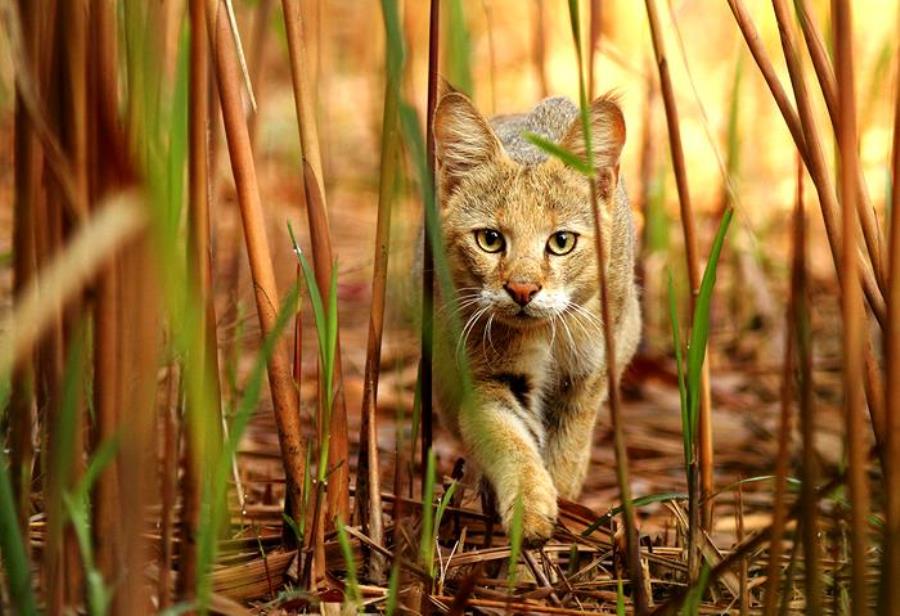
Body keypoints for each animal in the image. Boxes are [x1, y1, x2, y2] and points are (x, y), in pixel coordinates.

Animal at [434, 88, 640, 544]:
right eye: (490, 239)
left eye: (561, 241)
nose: (523, 290)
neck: (547, 334)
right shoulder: (486, 377)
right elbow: (509, 440)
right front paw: (528, 510)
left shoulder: (587, 375)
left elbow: (567, 451)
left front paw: (563, 513)